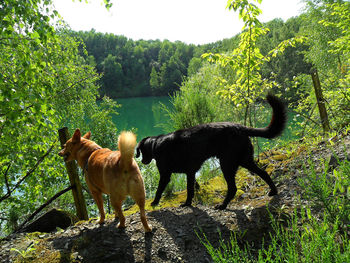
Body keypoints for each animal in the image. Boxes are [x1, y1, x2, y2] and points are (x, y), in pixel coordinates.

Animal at [135, 95, 286, 210]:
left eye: (140, 151)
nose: (142, 161)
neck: (155, 144)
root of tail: (240, 127)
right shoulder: (190, 173)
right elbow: (190, 190)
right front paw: (187, 204)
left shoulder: (165, 174)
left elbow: (159, 190)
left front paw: (154, 203)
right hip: (245, 160)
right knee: (264, 173)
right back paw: (273, 191)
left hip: (227, 163)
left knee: (233, 188)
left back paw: (223, 206)